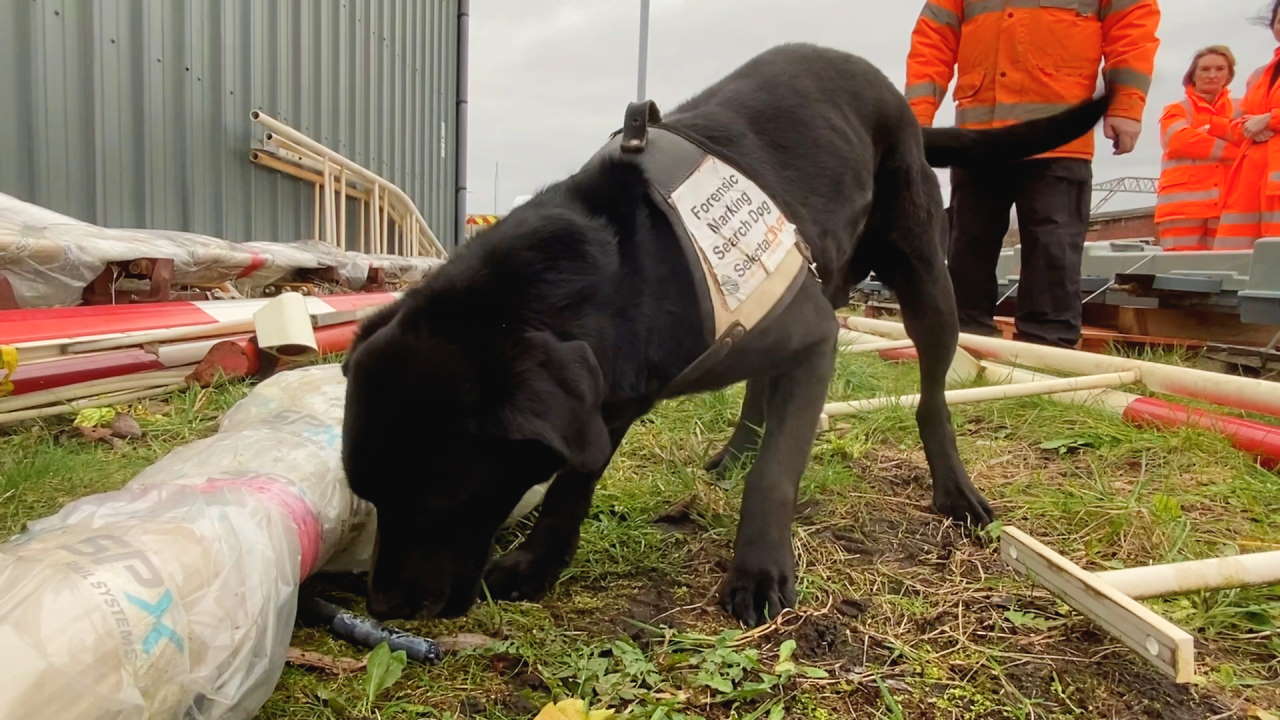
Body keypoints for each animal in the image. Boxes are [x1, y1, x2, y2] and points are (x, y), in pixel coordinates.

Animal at [345, 43, 1105, 622]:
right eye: (370, 498)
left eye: (439, 498)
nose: (380, 606)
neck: (633, 263)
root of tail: (898, 100)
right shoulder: (604, 398)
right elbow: (572, 480)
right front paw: (538, 561)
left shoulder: (813, 340)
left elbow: (775, 475)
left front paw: (760, 571)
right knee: (759, 393)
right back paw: (736, 449)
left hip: (922, 277)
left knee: (931, 395)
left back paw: (954, 490)